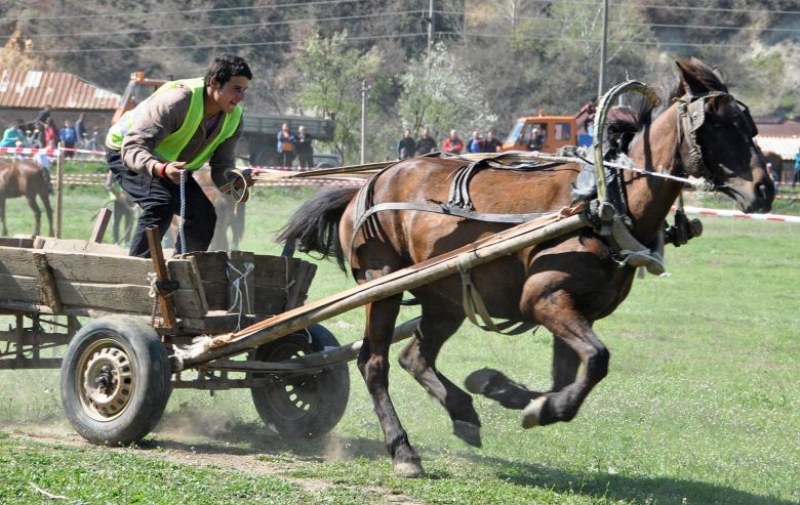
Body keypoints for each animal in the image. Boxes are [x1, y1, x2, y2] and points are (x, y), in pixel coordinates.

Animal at [278, 59, 772, 476]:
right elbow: (597, 360)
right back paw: (403, 450)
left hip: (445, 297)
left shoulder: (576, 310)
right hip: (382, 284)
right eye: (719, 124)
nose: (764, 189)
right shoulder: (546, 299)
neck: (604, 202)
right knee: (374, 362)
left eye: (749, 124)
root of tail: (367, 185)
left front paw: (503, 389)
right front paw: (535, 405)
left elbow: (570, 374)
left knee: (414, 355)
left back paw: (462, 411)